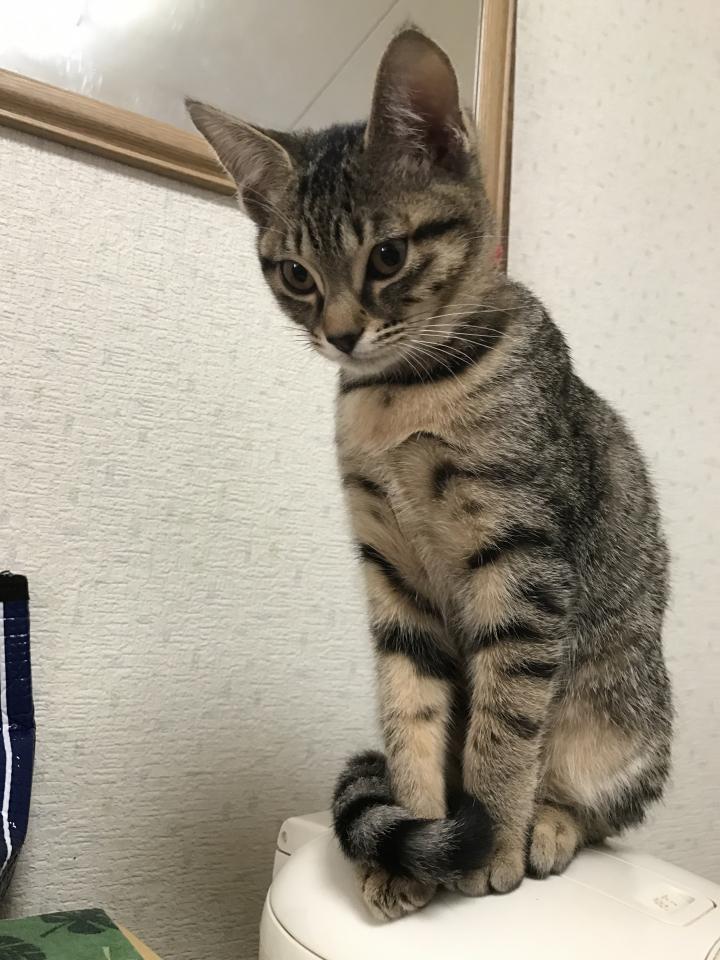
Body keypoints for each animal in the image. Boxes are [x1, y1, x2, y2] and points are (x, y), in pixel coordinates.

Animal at [187, 27, 673, 921]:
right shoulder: (392, 575)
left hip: (621, 718)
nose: (342, 335)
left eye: (388, 256)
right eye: (296, 275)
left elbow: (505, 727)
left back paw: (548, 826)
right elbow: (408, 713)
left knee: (600, 804)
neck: (398, 396)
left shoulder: (522, 563)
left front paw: (493, 843)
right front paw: (413, 847)